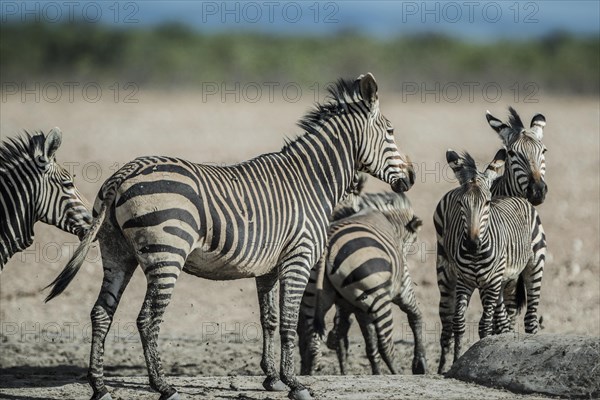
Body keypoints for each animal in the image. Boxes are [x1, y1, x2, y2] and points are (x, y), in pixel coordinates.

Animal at [296, 187, 426, 376]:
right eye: (414, 238)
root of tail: (326, 246)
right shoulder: (404, 287)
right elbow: (415, 316)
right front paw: (419, 363)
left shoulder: (360, 308)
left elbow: (370, 345)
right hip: (379, 299)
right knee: (386, 345)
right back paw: (396, 373)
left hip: (311, 295)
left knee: (312, 342)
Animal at [434, 107, 552, 346]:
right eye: (512, 154)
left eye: (543, 150)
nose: (537, 190)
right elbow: (498, 319)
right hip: (445, 270)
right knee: (447, 318)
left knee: (522, 316)